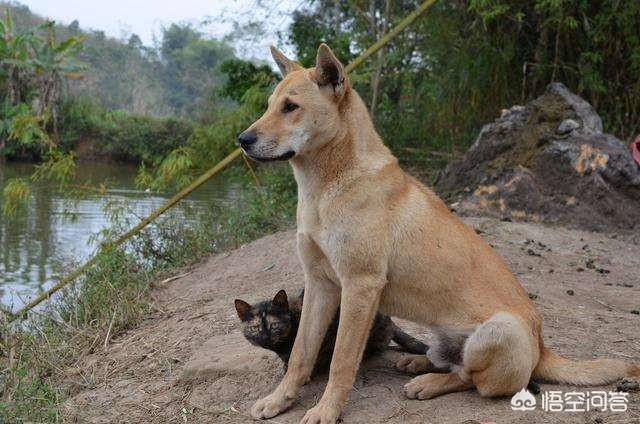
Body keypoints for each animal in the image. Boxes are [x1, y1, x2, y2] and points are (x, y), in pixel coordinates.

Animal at [232, 288, 428, 374]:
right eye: (255, 328)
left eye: (274, 326)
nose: (265, 337)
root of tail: (391, 321)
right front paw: (286, 367)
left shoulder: (328, 333)